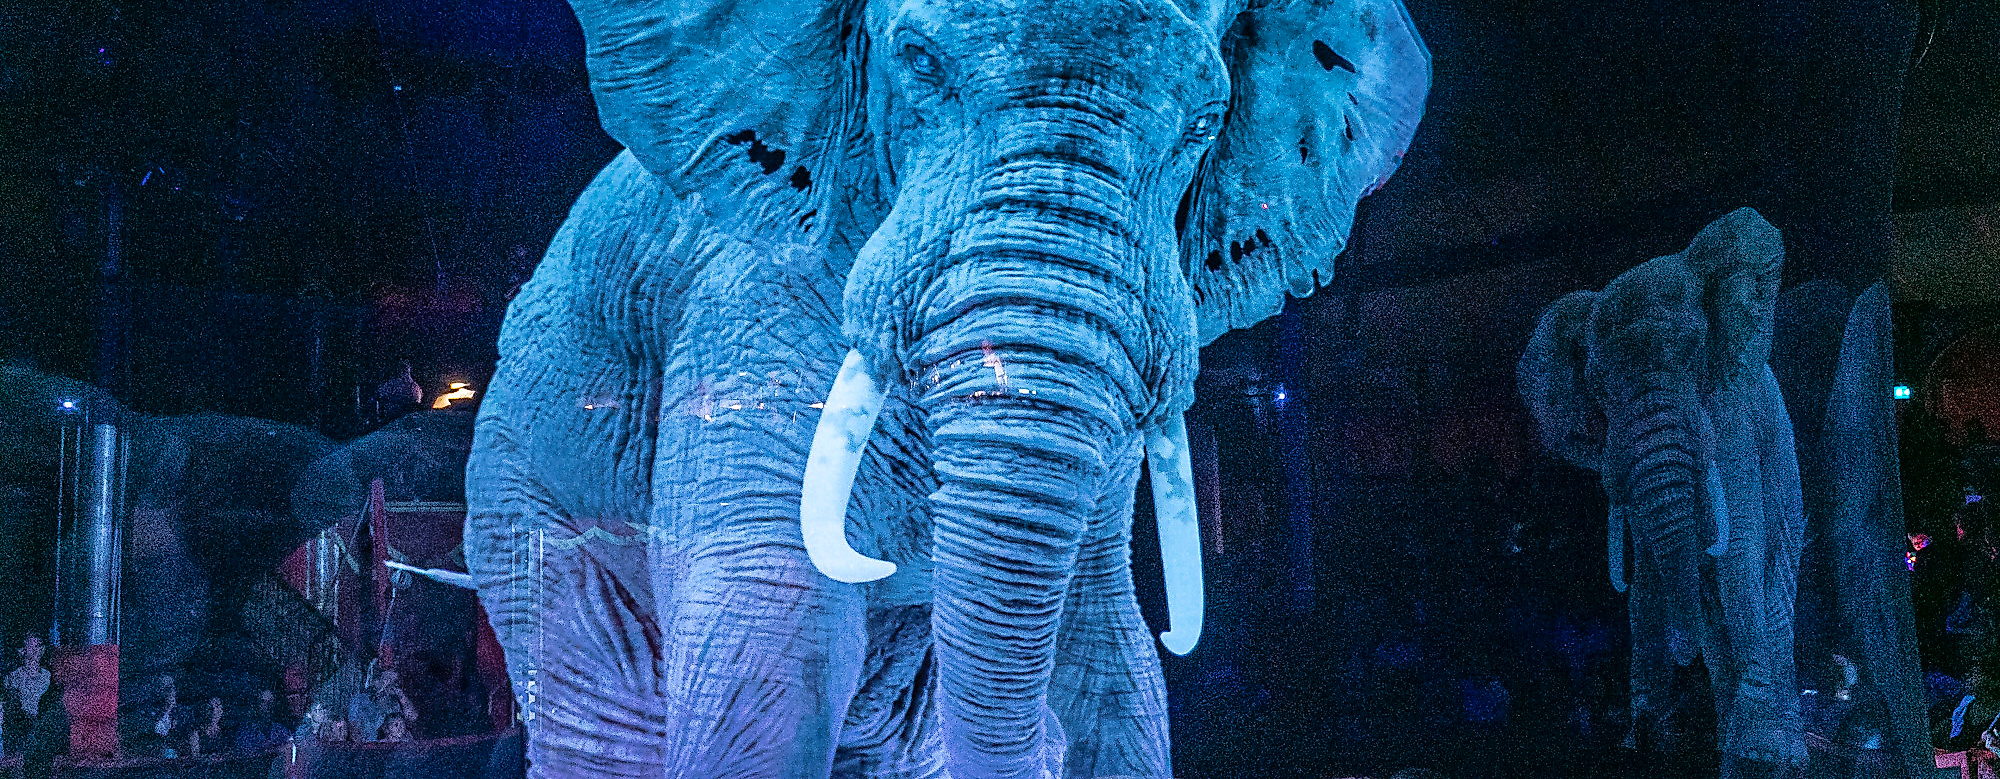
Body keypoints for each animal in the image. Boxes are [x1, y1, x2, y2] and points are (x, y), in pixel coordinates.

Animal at [461, 0, 1430, 776]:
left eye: (1205, 120)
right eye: (920, 60)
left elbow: (1111, 653)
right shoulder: (744, 301)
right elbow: (768, 633)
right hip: (521, 487)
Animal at [1517, 208, 1806, 770]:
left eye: (1693, 353)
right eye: (1599, 385)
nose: (1682, 654)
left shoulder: (1731, 416)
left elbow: (1738, 556)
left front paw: (1758, 749)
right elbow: (1650, 573)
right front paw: (1648, 738)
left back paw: (1777, 753)